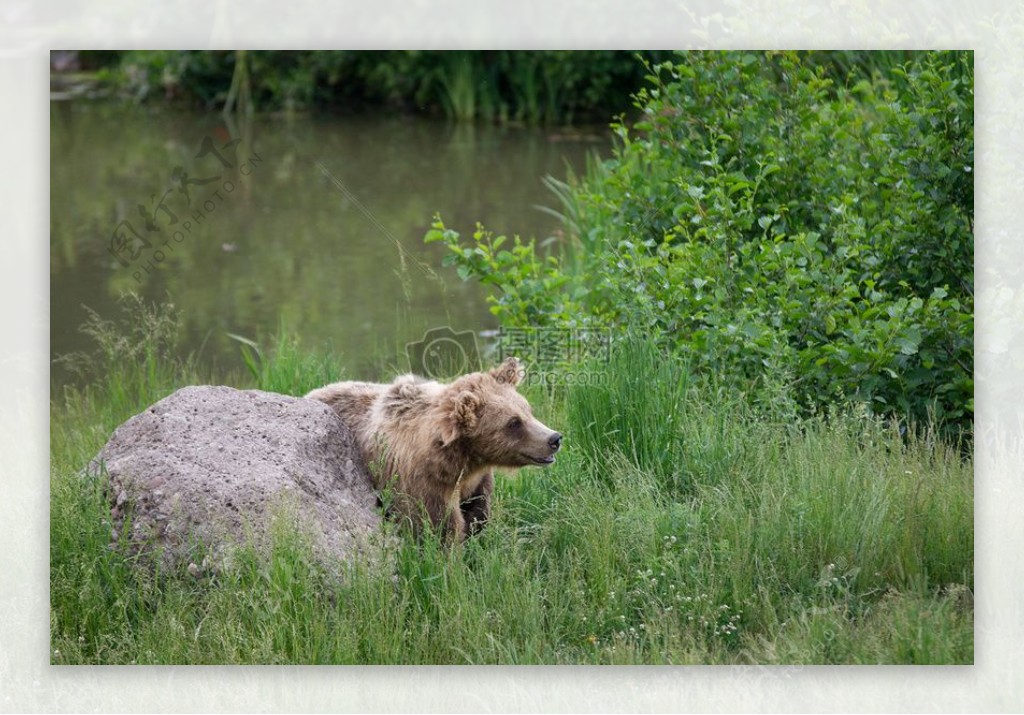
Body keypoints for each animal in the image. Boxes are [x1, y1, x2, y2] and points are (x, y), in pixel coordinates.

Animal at [303, 356, 561, 540]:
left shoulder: (475, 482)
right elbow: (439, 526)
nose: (554, 438)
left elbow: (478, 515)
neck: (461, 460)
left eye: (527, 410)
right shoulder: (421, 482)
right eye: (513, 423)